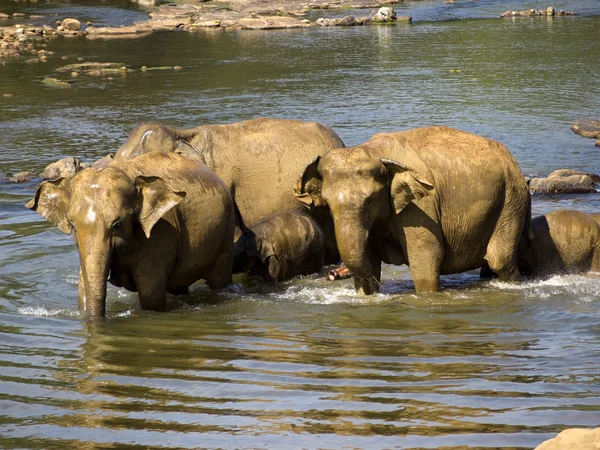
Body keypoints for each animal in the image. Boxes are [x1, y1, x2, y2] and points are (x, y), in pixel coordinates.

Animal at [27, 151, 236, 316]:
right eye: (72, 225)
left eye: (117, 224)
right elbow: (83, 288)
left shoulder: (161, 233)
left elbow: (151, 296)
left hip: (225, 234)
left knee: (220, 278)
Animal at [294, 126, 528, 296]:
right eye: (327, 203)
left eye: (370, 201)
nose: (334, 273)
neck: (376, 152)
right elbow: (370, 259)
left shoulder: (421, 206)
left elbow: (426, 259)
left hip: (511, 199)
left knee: (500, 260)